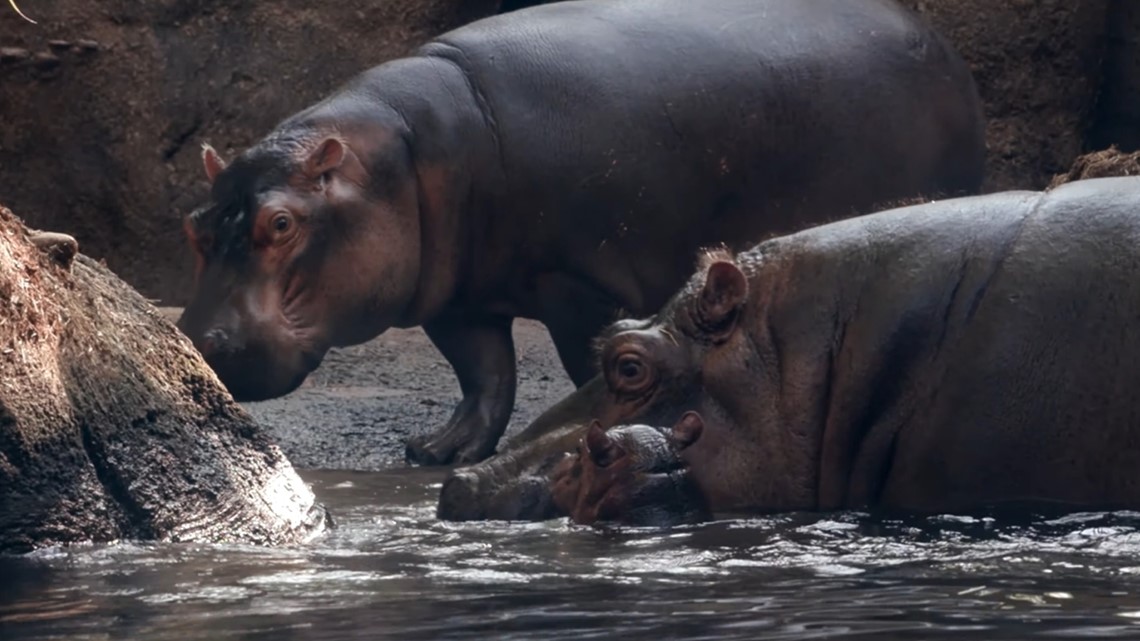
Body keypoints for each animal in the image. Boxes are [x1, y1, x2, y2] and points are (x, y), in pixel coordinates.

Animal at [177, 0, 985, 466]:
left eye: (282, 222)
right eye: (194, 225)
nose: (199, 343)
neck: (397, 154)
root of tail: (941, 45)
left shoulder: (580, 282)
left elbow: (576, 361)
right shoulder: (458, 298)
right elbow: (483, 376)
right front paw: (437, 451)